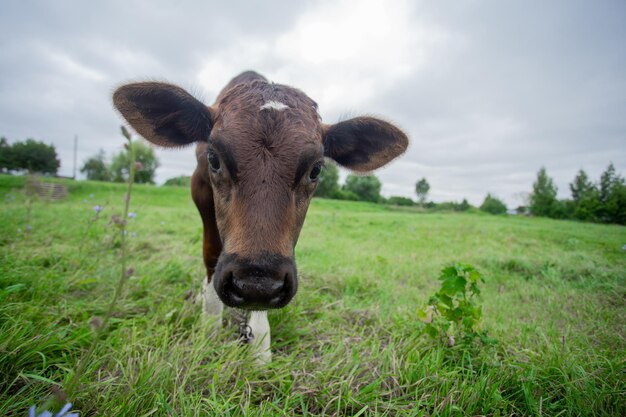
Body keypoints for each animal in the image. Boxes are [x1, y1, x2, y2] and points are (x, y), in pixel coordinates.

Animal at [112, 70, 408, 360]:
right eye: (214, 158)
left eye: (315, 169)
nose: (256, 284)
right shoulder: (199, 188)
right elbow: (210, 254)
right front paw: (209, 326)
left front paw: (260, 345)